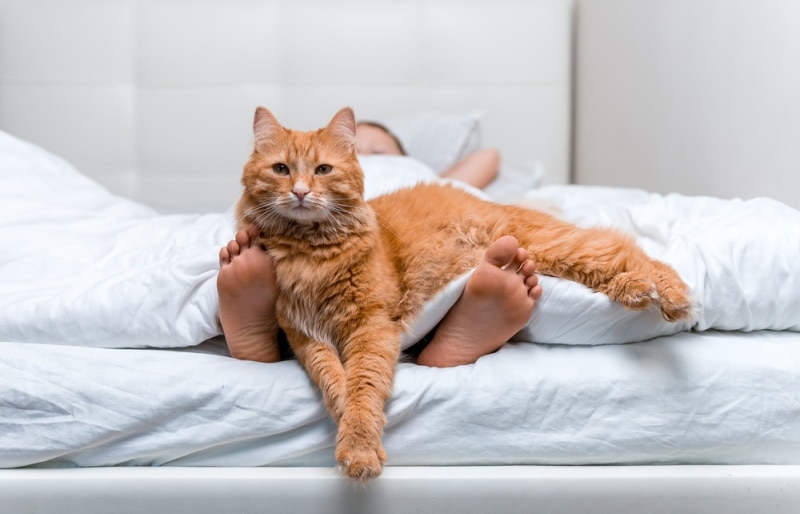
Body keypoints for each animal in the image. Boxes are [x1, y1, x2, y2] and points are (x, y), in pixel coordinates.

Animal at [233, 106, 692, 478]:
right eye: (281, 170)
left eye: (323, 170)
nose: (300, 191)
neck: (311, 253)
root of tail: (490, 204)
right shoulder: (305, 335)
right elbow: (334, 382)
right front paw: (349, 422)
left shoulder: (372, 325)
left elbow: (364, 384)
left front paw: (360, 445)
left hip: (549, 246)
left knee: (625, 248)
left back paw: (672, 296)